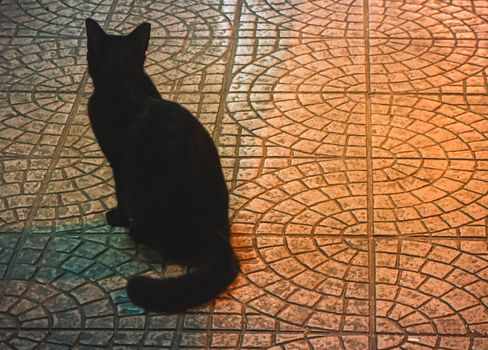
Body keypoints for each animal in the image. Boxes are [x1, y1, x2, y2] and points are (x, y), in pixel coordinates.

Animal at [84, 19, 240, 314]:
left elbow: (119, 194)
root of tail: (216, 235)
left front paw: (116, 217)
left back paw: (135, 230)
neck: (125, 79)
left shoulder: (118, 162)